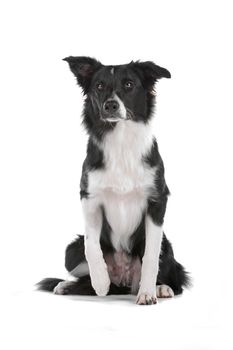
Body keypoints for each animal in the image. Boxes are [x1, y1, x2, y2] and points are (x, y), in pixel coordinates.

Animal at [37, 56, 189, 304]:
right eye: (99, 86)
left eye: (129, 84)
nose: (110, 105)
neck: (121, 141)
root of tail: (124, 281)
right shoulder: (89, 197)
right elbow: (91, 245)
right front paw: (100, 281)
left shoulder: (157, 201)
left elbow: (151, 255)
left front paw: (147, 293)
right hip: (70, 250)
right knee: (87, 273)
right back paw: (69, 285)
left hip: (167, 247)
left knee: (176, 279)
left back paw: (161, 288)